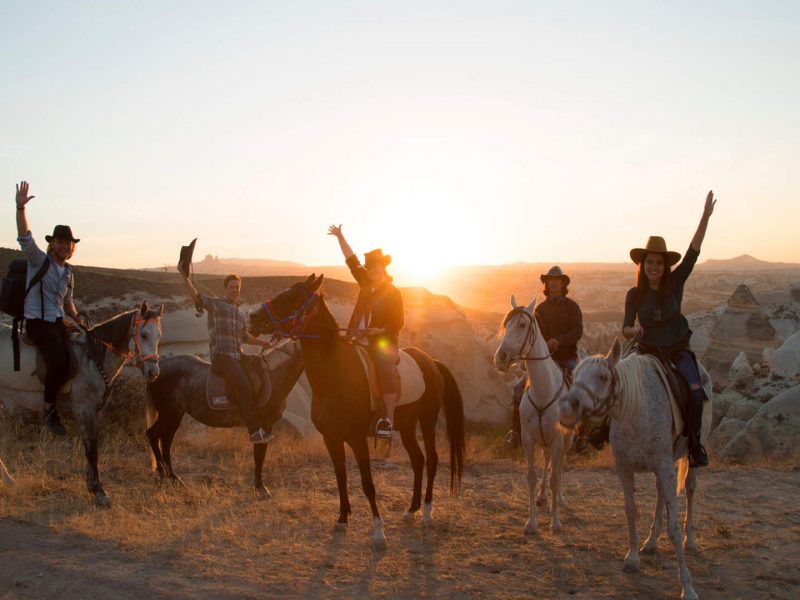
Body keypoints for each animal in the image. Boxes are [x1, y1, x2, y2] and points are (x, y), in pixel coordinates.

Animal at [248, 276, 462, 544]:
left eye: (291, 297)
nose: (252, 316)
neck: (336, 374)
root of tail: (430, 362)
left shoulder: (357, 439)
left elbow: (367, 482)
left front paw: (379, 530)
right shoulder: (331, 438)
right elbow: (341, 476)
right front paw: (342, 519)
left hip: (428, 419)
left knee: (431, 459)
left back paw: (426, 511)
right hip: (407, 426)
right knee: (418, 460)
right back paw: (411, 509)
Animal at [494, 296, 576, 536]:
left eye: (522, 325)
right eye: (506, 325)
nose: (500, 358)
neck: (543, 390)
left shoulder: (558, 440)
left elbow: (556, 477)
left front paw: (555, 521)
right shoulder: (528, 440)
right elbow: (531, 477)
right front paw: (531, 522)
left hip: (565, 442)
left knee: (558, 466)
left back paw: (560, 499)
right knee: (548, 461)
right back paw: (541, 496)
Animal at [556, 340, 712, 600]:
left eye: (602, 377)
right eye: (575, 374)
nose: (566, 408)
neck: (635, 409)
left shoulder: (665, 467)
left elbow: (673, 528)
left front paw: (688, 587)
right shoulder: (625, 469)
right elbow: (631, 511)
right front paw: (632, 558)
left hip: (687, 460)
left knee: (690, 489)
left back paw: (690, 541)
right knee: (659, 494)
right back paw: (651, 541)